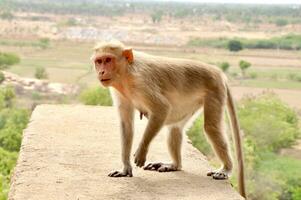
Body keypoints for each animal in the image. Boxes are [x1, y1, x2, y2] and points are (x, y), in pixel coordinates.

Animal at [90, 41, 245, 198]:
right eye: (99, 61)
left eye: (108, 60)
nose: (101, 72)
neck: (127, 72)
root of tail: (218, 72)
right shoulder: (119, 92)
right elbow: (126, 125)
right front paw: (125, 168)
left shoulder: (141, 82)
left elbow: (162, 109)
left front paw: (141, 152)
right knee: (175, 128)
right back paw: (174, 165)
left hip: (215, 90)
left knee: (211, 128)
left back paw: (226, 169)